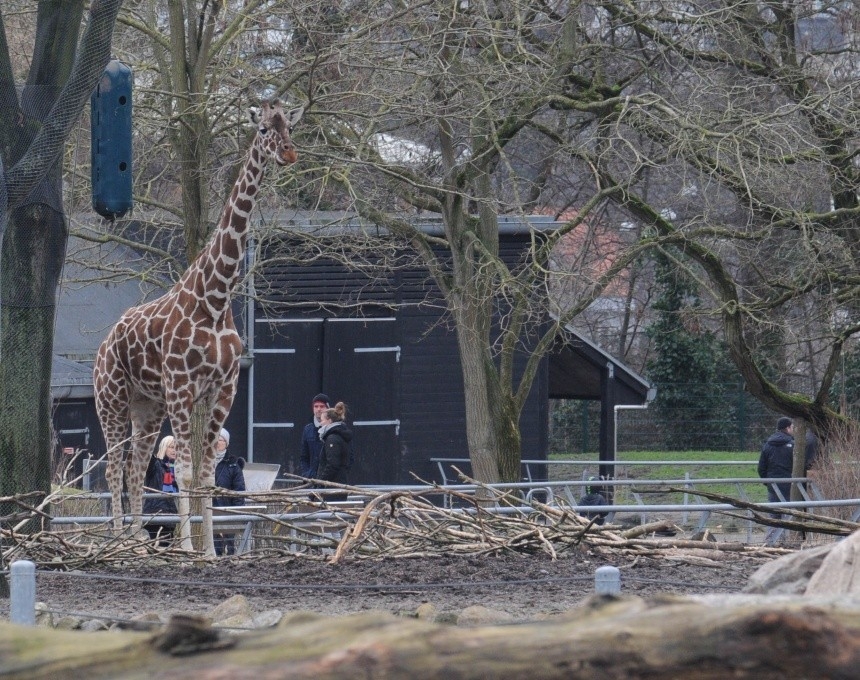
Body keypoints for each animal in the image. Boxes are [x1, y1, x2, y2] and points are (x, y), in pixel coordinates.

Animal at [93, 102, 302, 556]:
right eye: (263, 129)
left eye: (290, 127)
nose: (289, 154)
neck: (215, 299)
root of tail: (102, 345)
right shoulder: (182, 387)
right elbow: (186, 473)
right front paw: (189, 550)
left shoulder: (223, 388)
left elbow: (206, 474)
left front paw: (208, 552)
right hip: (111, 400)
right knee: (113, 467)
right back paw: (117, 541)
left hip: (147, 407)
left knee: (135, 467)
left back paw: (138, 541)